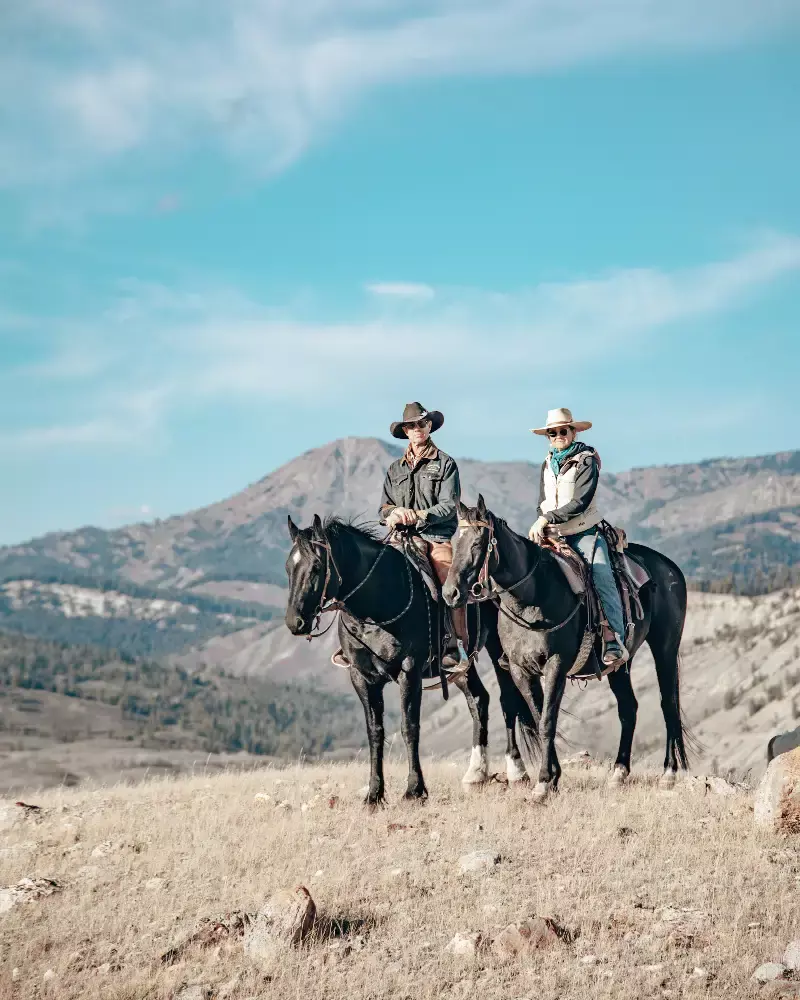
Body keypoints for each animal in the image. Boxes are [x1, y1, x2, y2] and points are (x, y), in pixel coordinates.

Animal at [284, 512, 540, 808]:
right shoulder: (361, 677)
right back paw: (476, 775)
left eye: (316, 566)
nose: (294, 622)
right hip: (461, 665)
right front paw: (374, 795)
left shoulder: (409, 671)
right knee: (478, 700)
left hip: (499, 650)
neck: (375, 607)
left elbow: (410, 727)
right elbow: (375, 732)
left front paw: (414, 790)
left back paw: (517, 772)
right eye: (288, 568)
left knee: (508, 701)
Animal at [444, 496, 692, 800]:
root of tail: (670, 568)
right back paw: (619, 772)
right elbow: (538, 716)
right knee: (628, 707)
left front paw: (542, 784)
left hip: (665, 646)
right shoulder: (520, 669)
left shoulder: (556, 665)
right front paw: (552, 777)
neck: (532, 595)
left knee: (669, 702)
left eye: (478, 543)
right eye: (455, 541)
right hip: (621, 663)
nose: (450, 593)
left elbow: (547, 721)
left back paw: (670, 773)